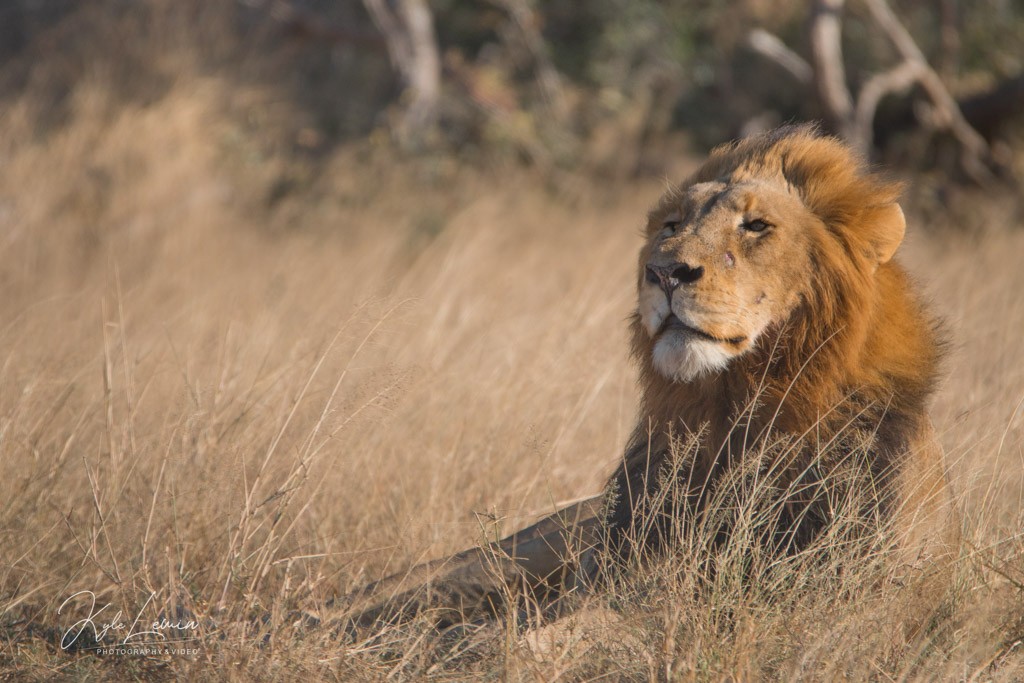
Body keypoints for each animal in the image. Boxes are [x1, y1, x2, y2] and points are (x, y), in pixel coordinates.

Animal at [339, 124, 957, 632]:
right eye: (672, 225)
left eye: (757, 226)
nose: (664, 272)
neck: (736, 409)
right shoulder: (621, 562)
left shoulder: (829, 589)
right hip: (516, 551)